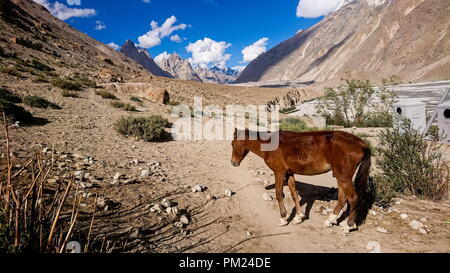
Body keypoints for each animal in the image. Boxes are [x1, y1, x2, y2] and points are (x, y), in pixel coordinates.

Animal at [230, 129, 370, 231]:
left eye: (232, 144)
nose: (233, 163)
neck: (270, 145)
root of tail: (362, 144)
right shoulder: (289, 173)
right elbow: (294, 194)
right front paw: (298, 217)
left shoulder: (279, 172)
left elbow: (279, 194)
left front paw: (283, 219)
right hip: (340, 177)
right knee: (342, 199)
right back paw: (330, 221)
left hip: (343, 177)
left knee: (353, 198)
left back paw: (349, 226)